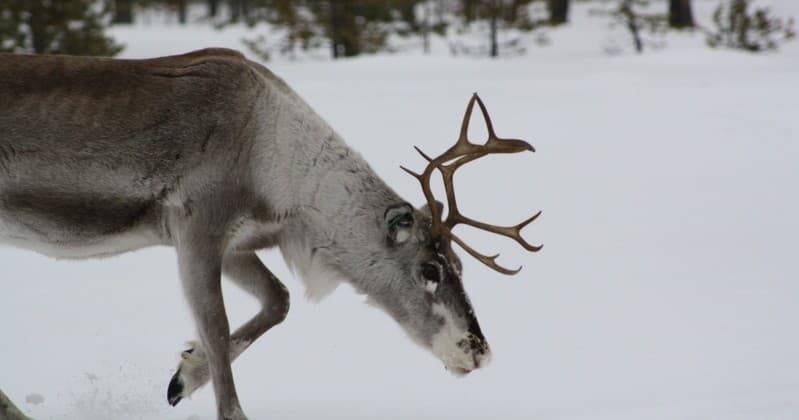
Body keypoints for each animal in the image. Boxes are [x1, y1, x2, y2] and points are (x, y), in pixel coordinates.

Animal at [0, 48, 541, 420]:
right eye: (428, 269)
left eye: (461, 264)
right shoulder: (196, 228)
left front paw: (183, 375)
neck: (280, 171)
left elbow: (278, 301)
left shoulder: (239, 244)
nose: (479, 351)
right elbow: (219, 333)